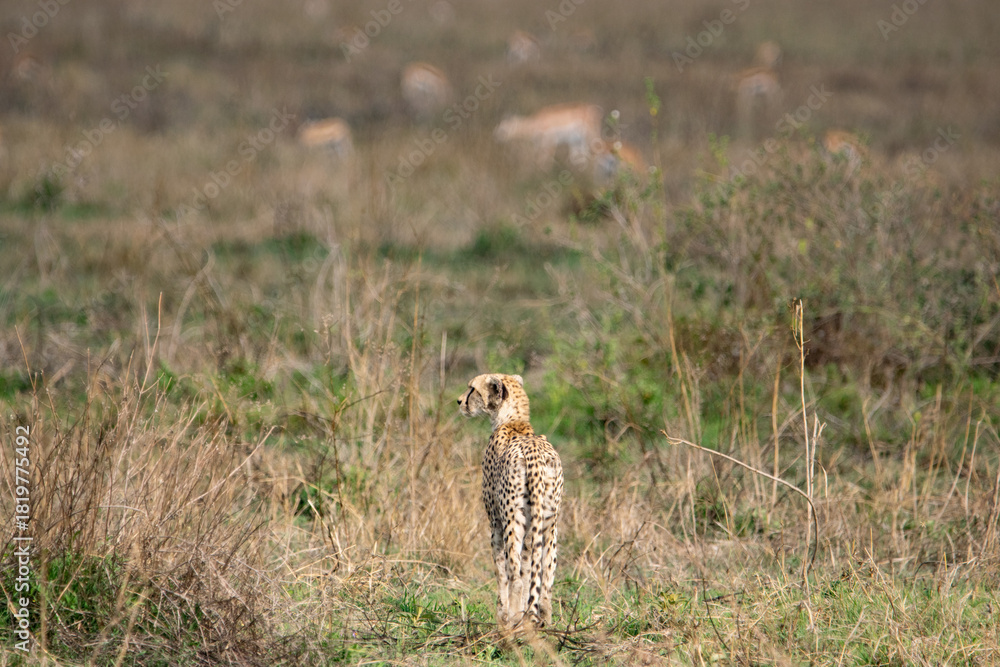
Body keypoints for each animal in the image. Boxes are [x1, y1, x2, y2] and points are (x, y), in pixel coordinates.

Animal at [458, 373, 563, 630]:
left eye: (472, 389)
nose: (459, 401)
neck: (513, 420)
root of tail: (535, 452)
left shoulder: (495, 521)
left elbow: (501, 572)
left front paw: (503, 615)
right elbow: (528, 570)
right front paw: (522, 614)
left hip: (512, 520)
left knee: (514, 577)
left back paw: (513, 623)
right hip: (550, 523)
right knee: (545, 583)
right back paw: (543, 622)